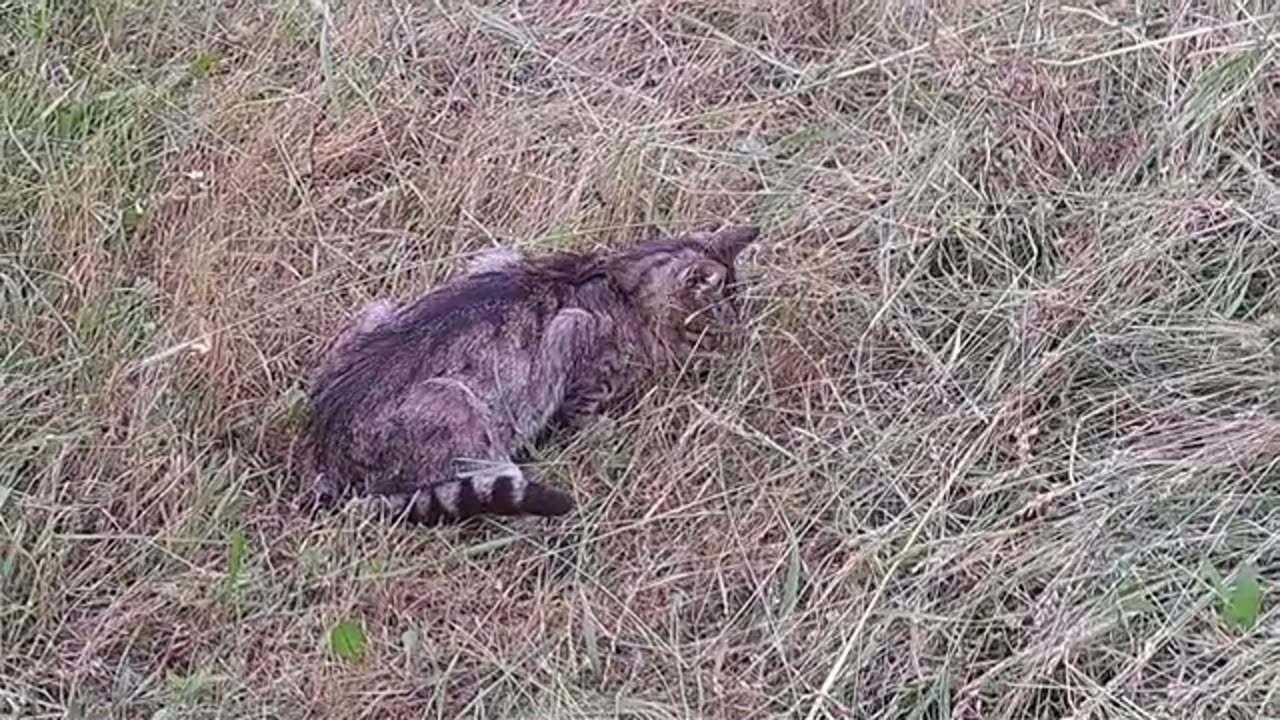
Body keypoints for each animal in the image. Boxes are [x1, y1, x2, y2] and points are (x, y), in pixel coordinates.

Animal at [296, 224, 757, 520]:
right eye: (725, 316)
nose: (741, 337)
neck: (620, 284)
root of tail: (325, 454)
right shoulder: (572, 333)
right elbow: (581, 408)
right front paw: (604, 430)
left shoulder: (497, 255)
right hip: (457, 407)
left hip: (376, 311)